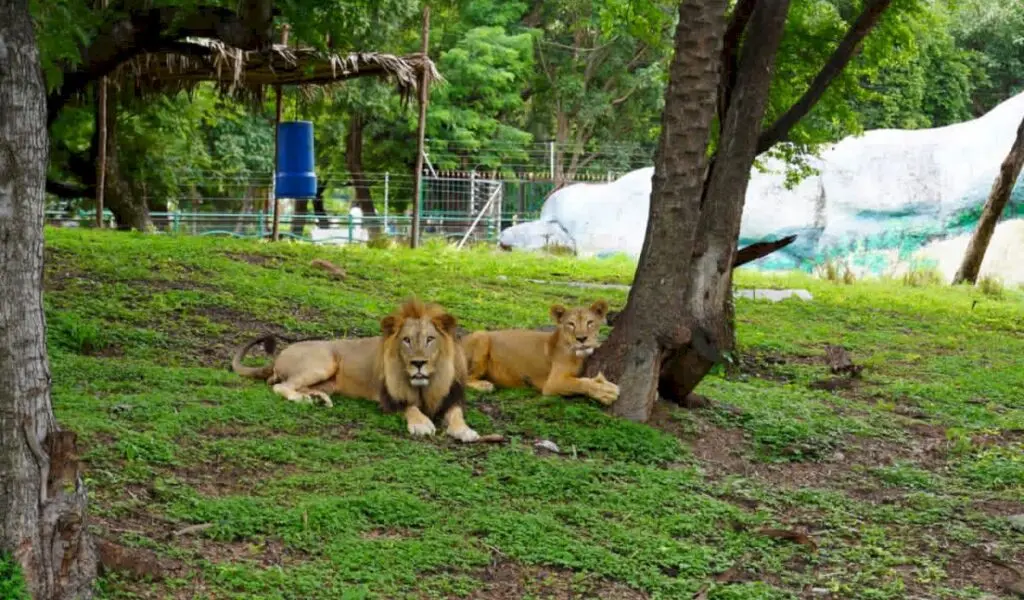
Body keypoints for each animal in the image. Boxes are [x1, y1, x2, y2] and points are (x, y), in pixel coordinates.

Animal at [230, 299, 479, 442]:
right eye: (407, 340)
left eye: (430, 339)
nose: (418, 363)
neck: (428, 383)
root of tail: (280, 354)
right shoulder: (389, 398)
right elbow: (410, 407)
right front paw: (421, 424)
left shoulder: (452, 397)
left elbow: (456, 414)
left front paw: (465, 431)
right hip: (324, 362)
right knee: (282, 386)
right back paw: (304, 399)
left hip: (329, 380)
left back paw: (318, 398)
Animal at [460, 299, 619, 405]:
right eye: (571, 324)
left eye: (590, 322)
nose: (581, 339)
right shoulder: (553, 382)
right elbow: (580, 383)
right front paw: (606, 391)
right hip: (482, 335)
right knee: (465, 378)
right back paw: (484, 386)